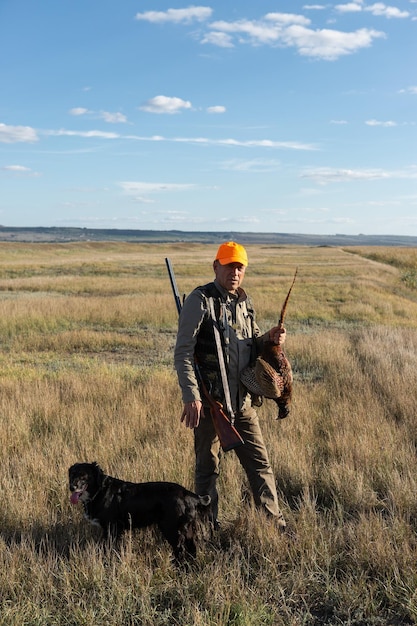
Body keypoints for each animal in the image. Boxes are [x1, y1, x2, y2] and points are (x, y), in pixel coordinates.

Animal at [69, 458, 211, 560]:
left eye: (83, 475)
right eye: (71, 474)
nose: (71, 487)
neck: (100, 490)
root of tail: (187, 493)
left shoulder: (112, 528)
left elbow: (109, 549)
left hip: (171, 529)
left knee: (181, 550)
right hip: (185, 529)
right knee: (191, 549)